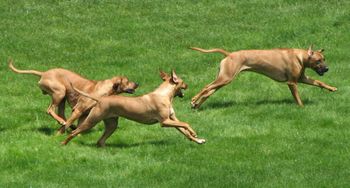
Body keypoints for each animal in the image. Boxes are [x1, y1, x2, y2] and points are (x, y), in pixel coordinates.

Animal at [8, 58, 138, 132]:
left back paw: (66, 124)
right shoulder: (78, 110)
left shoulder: (84, 114)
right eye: (127, 81)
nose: (137, 84)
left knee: (61, 114)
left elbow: (80, 126)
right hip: (60, 93)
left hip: (62, 97)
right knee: (50, 110)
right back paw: (62, 123)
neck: (105, 89)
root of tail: (44, 73)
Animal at [61, 70, 206, 147]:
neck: (164, 95)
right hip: (92, 120)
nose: (187, 85)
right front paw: (194, 133)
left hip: (112, 124)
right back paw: (63, 143)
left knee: (100, 141)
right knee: (74, 132)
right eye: (183, 82)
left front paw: (197, 139)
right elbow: (185, 124)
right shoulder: (165, 121)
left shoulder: (172, 119)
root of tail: (100, 99)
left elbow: (184, 130)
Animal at [190, 45, 338, 108]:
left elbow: (318, 82)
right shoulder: (292, 83)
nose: (327, 69)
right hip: (226, 78)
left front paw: (331, 88)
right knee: (205, 88)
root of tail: (230, 54)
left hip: (223, 79)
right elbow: (298, 98)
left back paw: (197, 105)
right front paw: (301, 108)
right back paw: (193, 100)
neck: (300, 57)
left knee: (208, 92)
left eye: (324, 59)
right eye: (318, 61)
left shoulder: (302, 78)